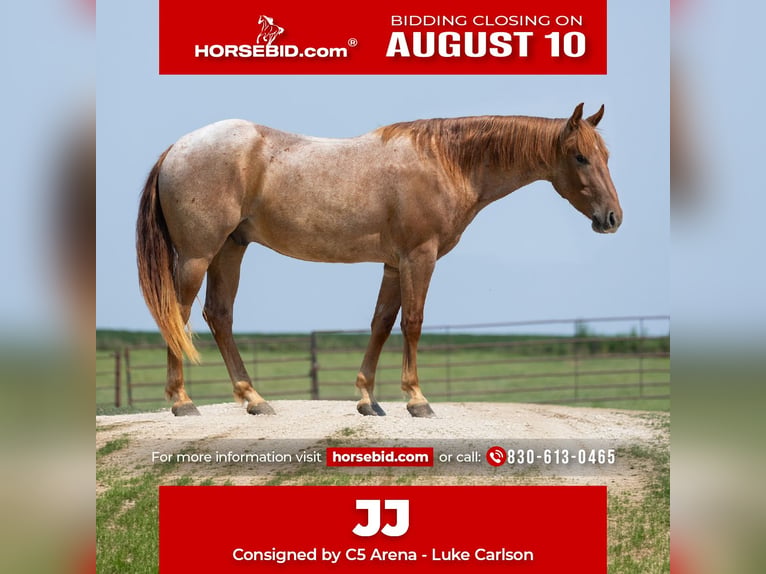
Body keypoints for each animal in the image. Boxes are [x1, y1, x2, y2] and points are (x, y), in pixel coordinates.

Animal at [136, 103, 622, 418]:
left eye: (606, 155)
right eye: (580, 156)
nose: (612, 218)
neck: (444, 162)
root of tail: (177, 148)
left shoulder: (393, 263)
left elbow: (382, 323)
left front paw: (368, 399)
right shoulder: (419, 256)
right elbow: (413, 322)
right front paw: (416, 399)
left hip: (230, 249)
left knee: (219, 315)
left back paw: (254, 399)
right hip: (198, 255)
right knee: (178, 315)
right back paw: (182, 402)